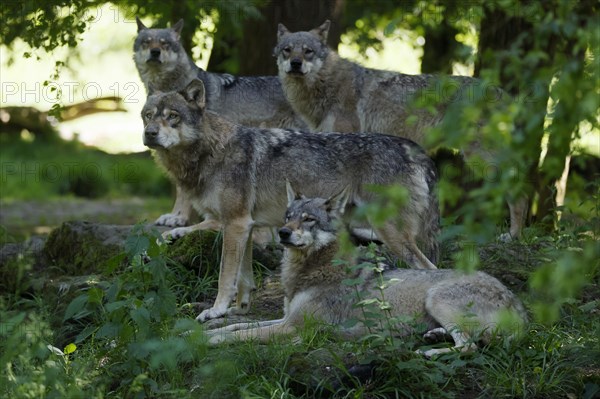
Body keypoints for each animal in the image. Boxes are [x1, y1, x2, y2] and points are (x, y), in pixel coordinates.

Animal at [134, 18, 308, 228]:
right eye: (147, 42)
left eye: (164, 43)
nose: (155, 52)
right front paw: (177, 216)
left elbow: (184, 193)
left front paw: (179, 218)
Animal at [141, 79, 440, 324]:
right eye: (148, 116)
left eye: (172, 117)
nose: (149, 133)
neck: (210, 152)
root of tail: (415, 150)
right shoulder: (245, 225)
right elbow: (244, 279)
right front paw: (239, 309)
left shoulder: (235, 224)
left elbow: (226, 276)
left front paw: (215, 310)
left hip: (389, 234)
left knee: (430, 269)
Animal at [204, 186, 528, 358]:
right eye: (288, 217)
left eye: (309, 219)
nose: (283, 233)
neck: (309, 271)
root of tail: (516, 304)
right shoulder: (285, 317)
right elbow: (239, 326)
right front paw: (209, 329)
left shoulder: (293, 326)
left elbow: (244, 335)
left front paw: (209, 341)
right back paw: (433, 336)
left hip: (436, 298)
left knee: (469, 347)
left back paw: (430, 351)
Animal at [274, 21, 528, 242]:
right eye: (287, 50)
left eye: (308, 52)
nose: (295, 63)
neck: (324, 85)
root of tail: (501, 92)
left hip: (481, 159)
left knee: (519, 193)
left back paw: (513, 236)